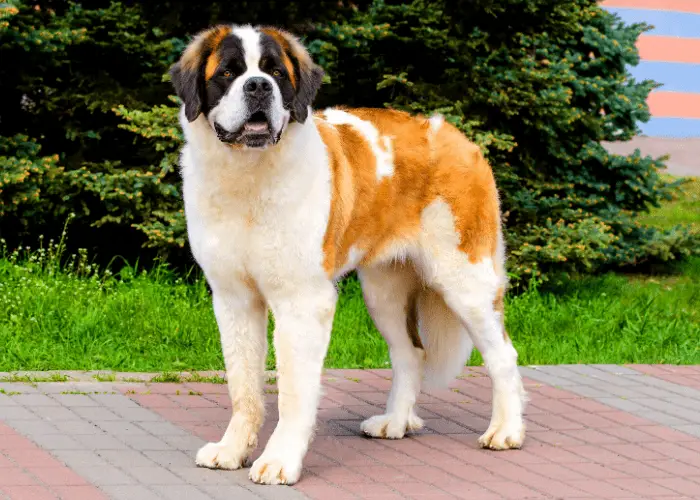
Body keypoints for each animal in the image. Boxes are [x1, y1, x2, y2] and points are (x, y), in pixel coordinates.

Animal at [167, 22, 524, 484]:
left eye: (276, 73)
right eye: (228, 72)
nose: (259, 86)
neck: (248, 176)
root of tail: (459, 138)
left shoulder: (302, 301)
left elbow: (293, 392)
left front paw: (280, 461)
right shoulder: (233, 299)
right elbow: (243, 385)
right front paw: (231, 450)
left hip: (465, 280)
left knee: (502, 354)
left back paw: (506, 431)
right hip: (384, 291)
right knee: (410, 353)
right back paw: (394, 423)